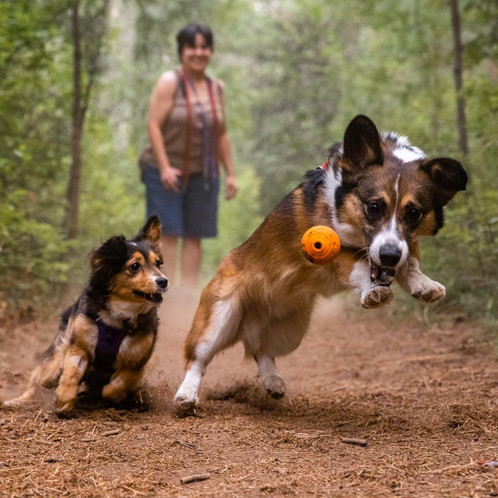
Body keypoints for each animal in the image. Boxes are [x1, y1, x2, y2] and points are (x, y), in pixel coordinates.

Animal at [1, 216, 169, 414]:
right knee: (39, 382)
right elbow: (71, 374)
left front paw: (108, 395)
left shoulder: (136, 362)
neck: (119, 315)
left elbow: (118, 384)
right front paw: (63, 401)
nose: (163, 281)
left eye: (158, 264)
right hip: (49, 367)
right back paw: (16, 401)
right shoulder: (80, 346)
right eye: (135, 266)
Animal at [174, 115, 466, 410]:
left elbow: (411, 257)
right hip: (217, 318)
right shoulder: (334, 254)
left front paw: (423, 284)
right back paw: (186, 395)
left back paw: (272, 380)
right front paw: (373, 291)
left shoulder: (403, 244)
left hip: (291, 330)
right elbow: (359, 268)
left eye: (414, 212)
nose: (389, 256)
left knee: (262, 350)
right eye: (374, 206)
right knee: (197, 360)